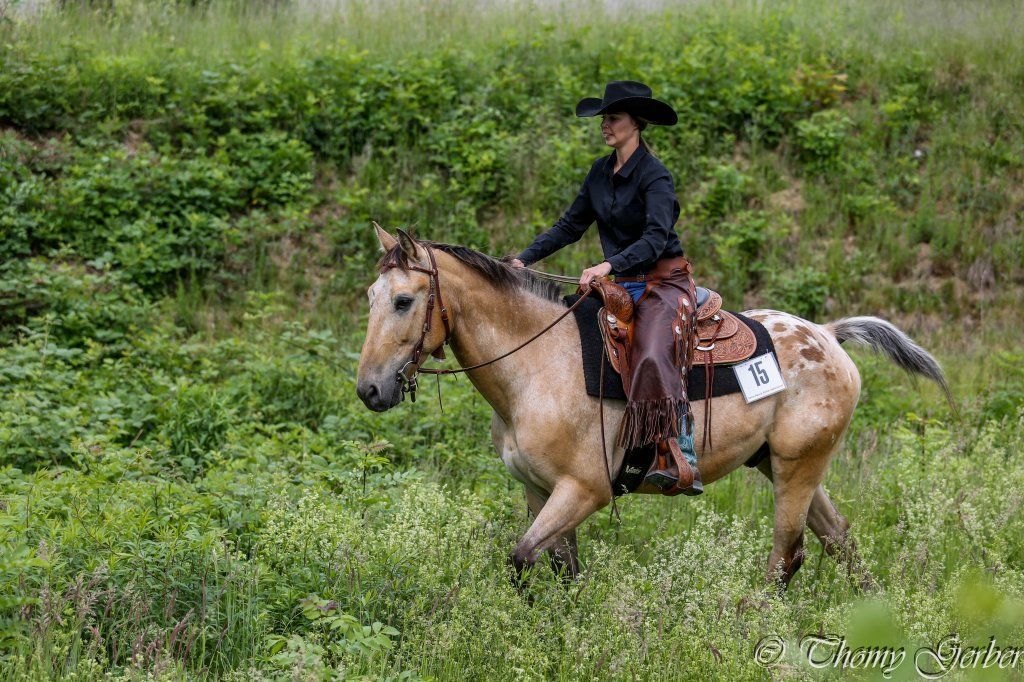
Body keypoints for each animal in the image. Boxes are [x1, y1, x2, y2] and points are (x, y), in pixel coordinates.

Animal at [356, 224, 952, 590]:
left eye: (404, 300)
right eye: (370, 297)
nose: (369, 390)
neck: (538, 363)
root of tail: (827, 336)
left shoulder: (583, 491)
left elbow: (521, 560)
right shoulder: (538, 490)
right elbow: (560, 571)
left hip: (795, 468)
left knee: (788, 553)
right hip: (787, 464)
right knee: (839, 539)